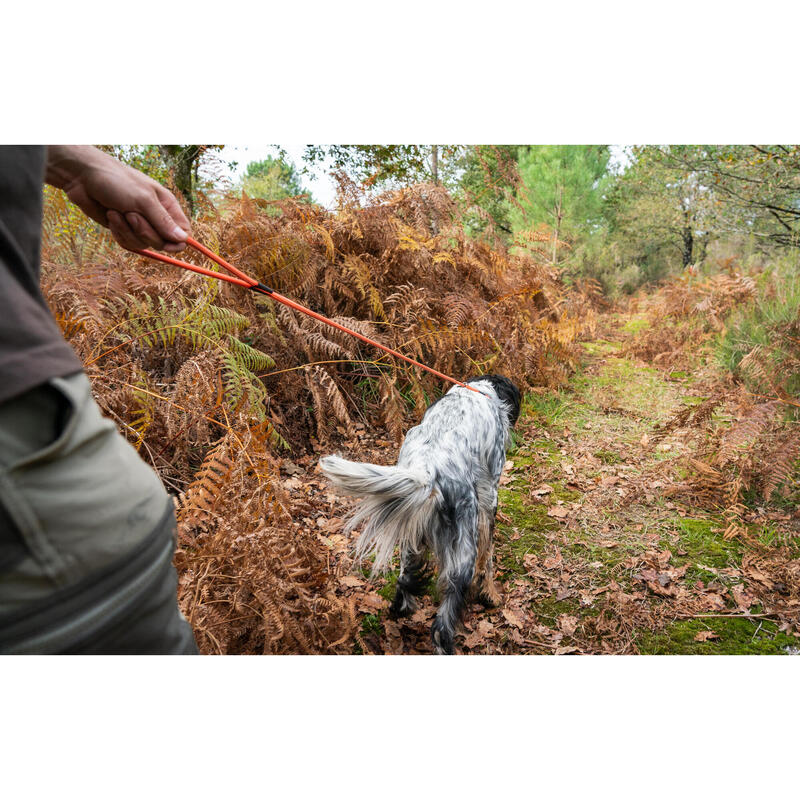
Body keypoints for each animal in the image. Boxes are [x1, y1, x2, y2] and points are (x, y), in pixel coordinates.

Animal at [322, 372, 520, 652]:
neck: (477, 391)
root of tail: (428, 471)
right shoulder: (489, 494)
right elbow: (487, 558)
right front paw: (490, 594)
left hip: (411, 534)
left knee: (405, 580)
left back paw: (401, 609)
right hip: (463, 548)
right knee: (441, 624)